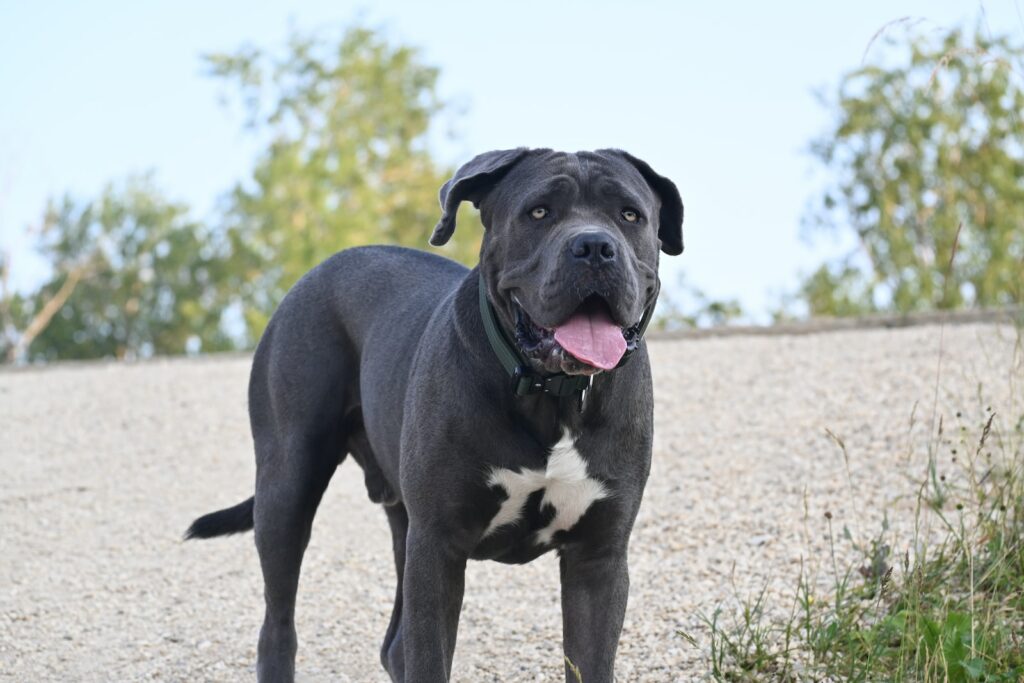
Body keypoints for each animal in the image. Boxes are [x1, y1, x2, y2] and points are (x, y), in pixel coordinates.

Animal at [188, 147, 684, 679]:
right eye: (539, 212)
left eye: (629, 215)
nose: (593, 246)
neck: (549, 395)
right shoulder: (438, 547)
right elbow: (429, 658)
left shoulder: (598, 558)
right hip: (287, 484)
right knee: (278, 624)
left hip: (401, 522)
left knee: (393, 644)